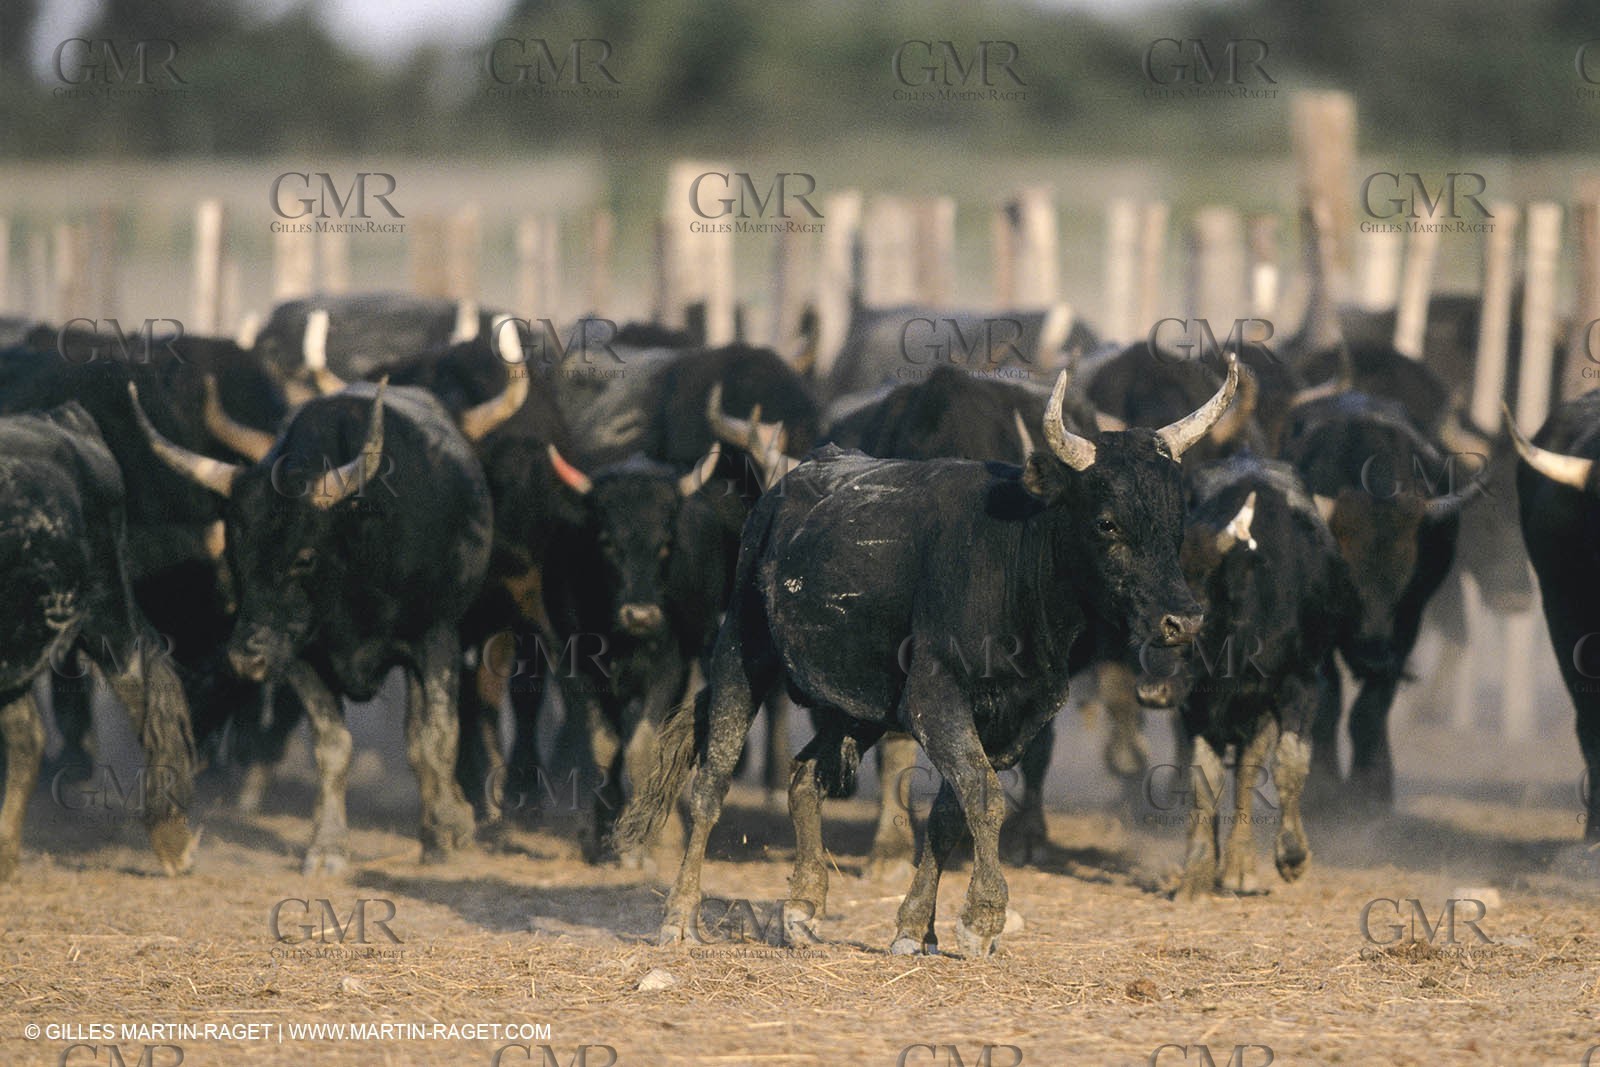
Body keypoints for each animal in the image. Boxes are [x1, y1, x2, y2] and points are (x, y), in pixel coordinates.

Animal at [130, 373, 522, 871]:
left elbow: (435, 738)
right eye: (235, 552)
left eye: (303, 557)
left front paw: (445, 833)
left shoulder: (435, 637)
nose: (246, 659)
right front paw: (328, 845)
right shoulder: (299, 654)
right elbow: (333, 748)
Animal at [614, 359, 1238, 957]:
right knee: (711, 783)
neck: (1013, 563)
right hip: (741, 657)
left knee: (805, 778)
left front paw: (916, 927)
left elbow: (950, 813)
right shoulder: (935, 697)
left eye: (1175, 522)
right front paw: (982, 917)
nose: (1184, 620)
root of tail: (784, 486)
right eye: (1107, 522)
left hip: (857, 703)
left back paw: (802, 910)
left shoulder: (1015, 716)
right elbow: (983, 796)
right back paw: (680, 918)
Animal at [1144, 456, 1358, 897]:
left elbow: (1286, 763)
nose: (1153, 690)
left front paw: (1289, 856)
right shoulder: (1197, 704)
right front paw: (1196, 872)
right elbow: (1204, 779)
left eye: (1201, 604)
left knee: (1250, 767)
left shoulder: (1299, 683)